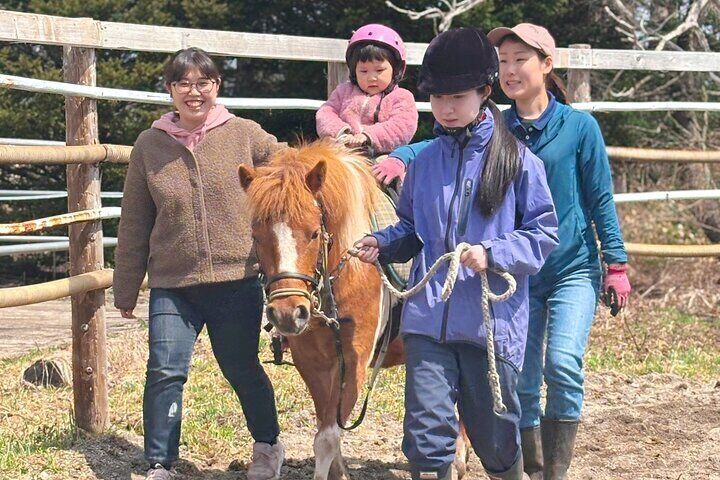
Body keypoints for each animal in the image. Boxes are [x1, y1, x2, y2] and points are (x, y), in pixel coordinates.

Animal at [238, 141, 470, 480]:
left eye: (313, 232)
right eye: (256, 235)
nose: (287, 313)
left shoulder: (354, 361)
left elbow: (326, 438)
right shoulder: (312, 363)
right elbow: (326, 428)